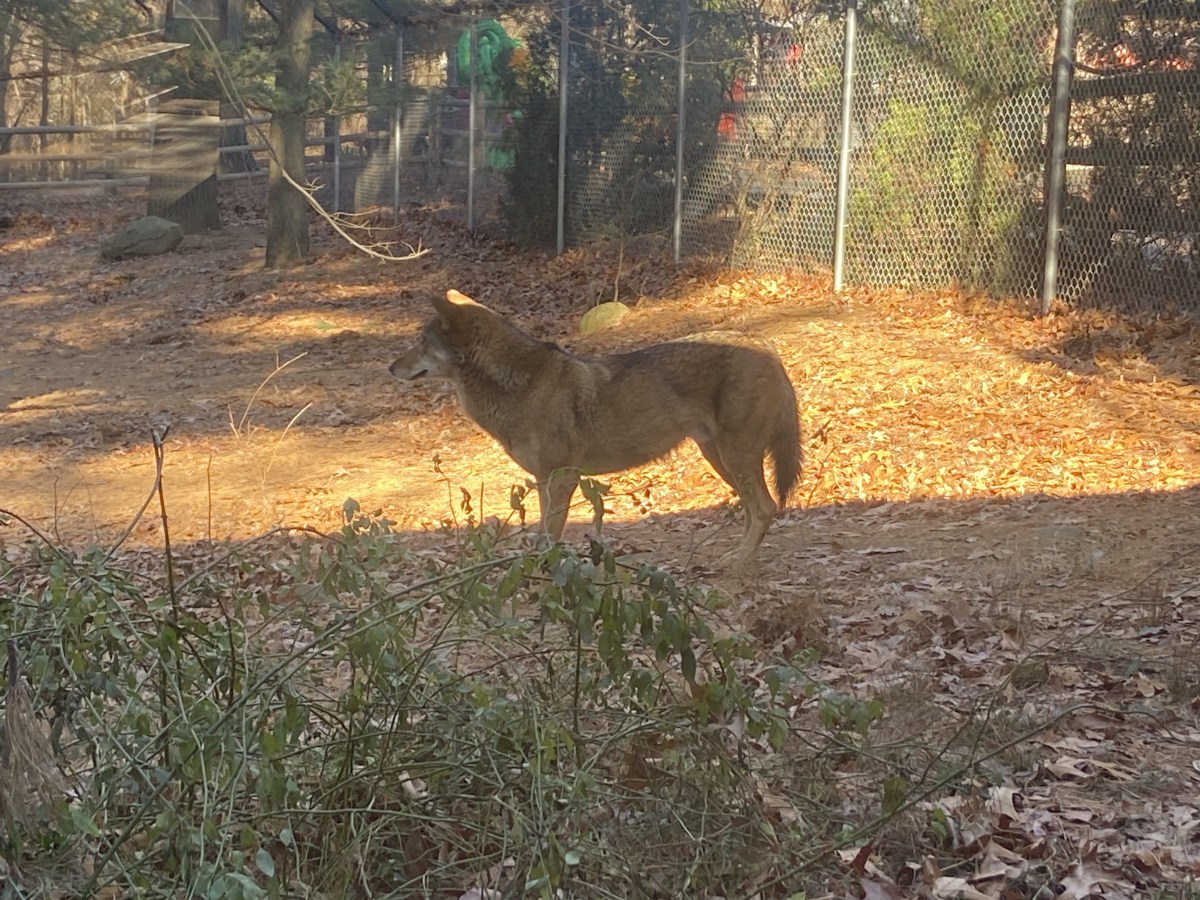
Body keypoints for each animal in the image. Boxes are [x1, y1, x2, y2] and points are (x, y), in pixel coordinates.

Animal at [390, 290, 801, 565]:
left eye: (421, 341)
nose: (391, 368)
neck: (521, 384)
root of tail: (765, 343)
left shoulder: (562, 478)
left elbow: (549, 537)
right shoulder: (544, 480)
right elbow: (544, 535)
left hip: (733, 458)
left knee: (765, 507)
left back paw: (739, 561)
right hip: (719, 458)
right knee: (753, 509)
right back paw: (739, 554)